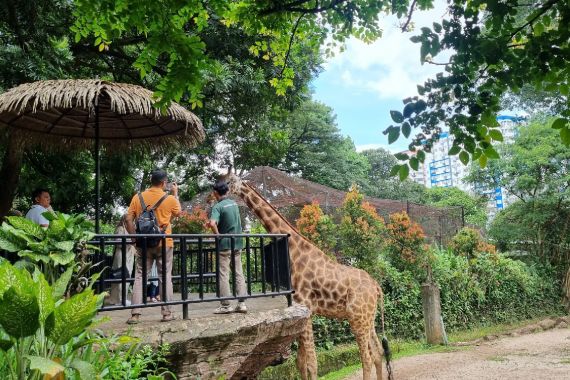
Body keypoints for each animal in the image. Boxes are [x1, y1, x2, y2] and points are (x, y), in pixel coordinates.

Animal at [224, 174, 388, 380]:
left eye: (229, 181)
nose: (216, 191)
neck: (294, 250)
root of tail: (376, 286)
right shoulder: (302, 311)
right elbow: (301, 362)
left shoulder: (306, 307)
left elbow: (311, 363)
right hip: (368, 318)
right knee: (377, 353)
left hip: (357, 317)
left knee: (366, 357)